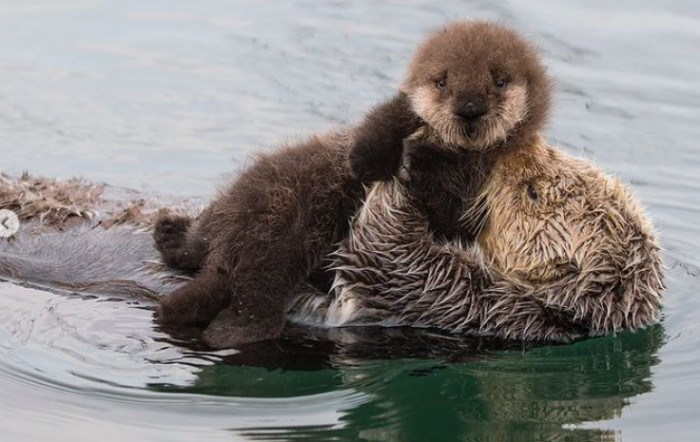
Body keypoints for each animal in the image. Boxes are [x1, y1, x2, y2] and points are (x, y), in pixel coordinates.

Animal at [153, 20, 552, 348]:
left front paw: (423, 157)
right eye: (442, 82)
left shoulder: (483, 191)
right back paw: (174, 238)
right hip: (263, 196)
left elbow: (452, 211)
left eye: (499, 81)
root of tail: (230, 249)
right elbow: (371, 140)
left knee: (257, 282)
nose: (470, 109)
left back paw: (225, 322)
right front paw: (382, 148)